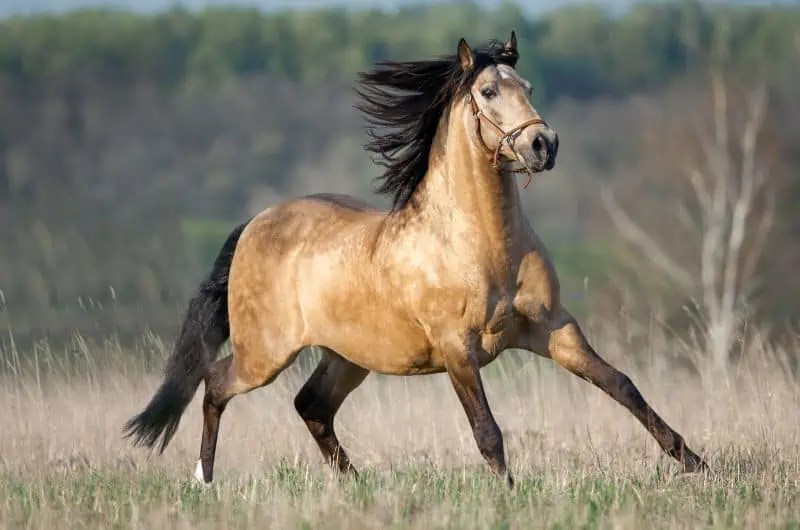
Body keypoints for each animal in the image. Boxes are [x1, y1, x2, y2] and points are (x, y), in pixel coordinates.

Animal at [124, 33, 708, 486]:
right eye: (489, 91)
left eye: (529, 88)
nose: (545, 144)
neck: (482, 246)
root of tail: (256, 223)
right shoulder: (457, 350)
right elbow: (487, 431)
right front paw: (508, 493)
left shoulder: (554, 329)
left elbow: (623, 385)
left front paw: (697, 464)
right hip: (265, 354)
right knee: (216, 384)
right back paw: (204, 479)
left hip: (347, 356)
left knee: (311, 405)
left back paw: (356, 485)